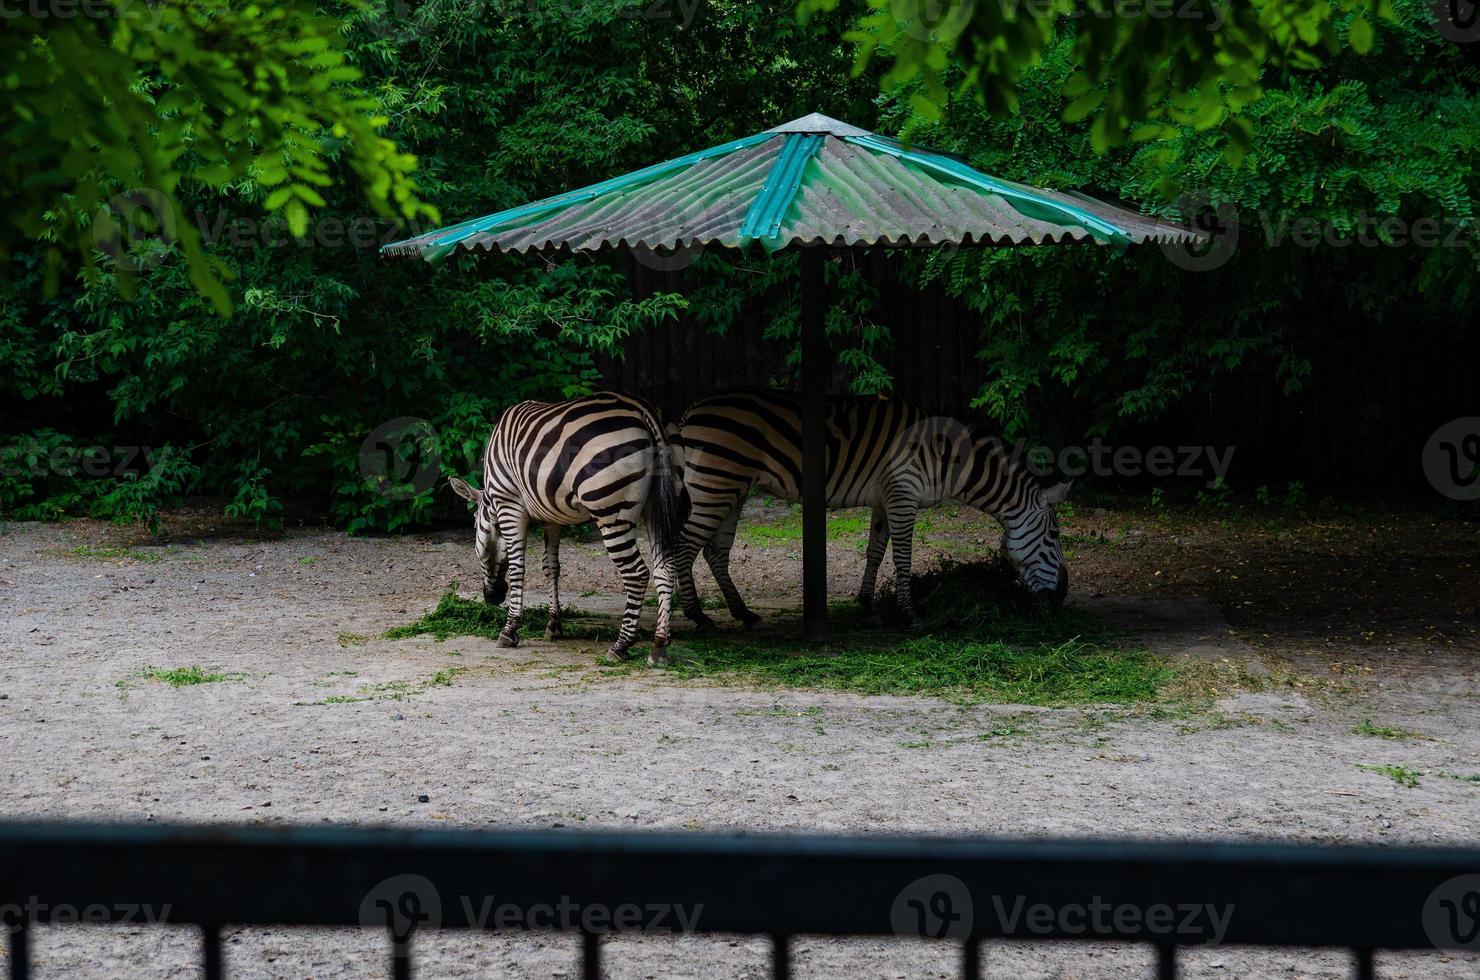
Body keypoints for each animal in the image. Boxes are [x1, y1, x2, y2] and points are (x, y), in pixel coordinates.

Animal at [446, 390, 683, 669]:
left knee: (636, 573)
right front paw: (554, 625)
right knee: (665, 568)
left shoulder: (509, 504)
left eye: (475, 526)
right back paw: (660, 646)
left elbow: (517, 568)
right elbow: (551, 567)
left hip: (610, 510)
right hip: (657, 508)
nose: (491, 598)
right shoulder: (552, 518)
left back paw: (621, 645)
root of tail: (642, 409)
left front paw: (510, 629)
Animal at [674, 390, 1077, 630]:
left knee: (715, 552)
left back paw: (742, 612)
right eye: (1055, 535)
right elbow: (902, 557)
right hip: (715, 484)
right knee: (685, 545)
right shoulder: (903, 492)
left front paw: (868, 604)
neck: (949, 457)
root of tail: (691, 409)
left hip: (732, 489)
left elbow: (875, 551)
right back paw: (697, 615)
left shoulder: (887, 498)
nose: (1061, 598)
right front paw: (910, 614)